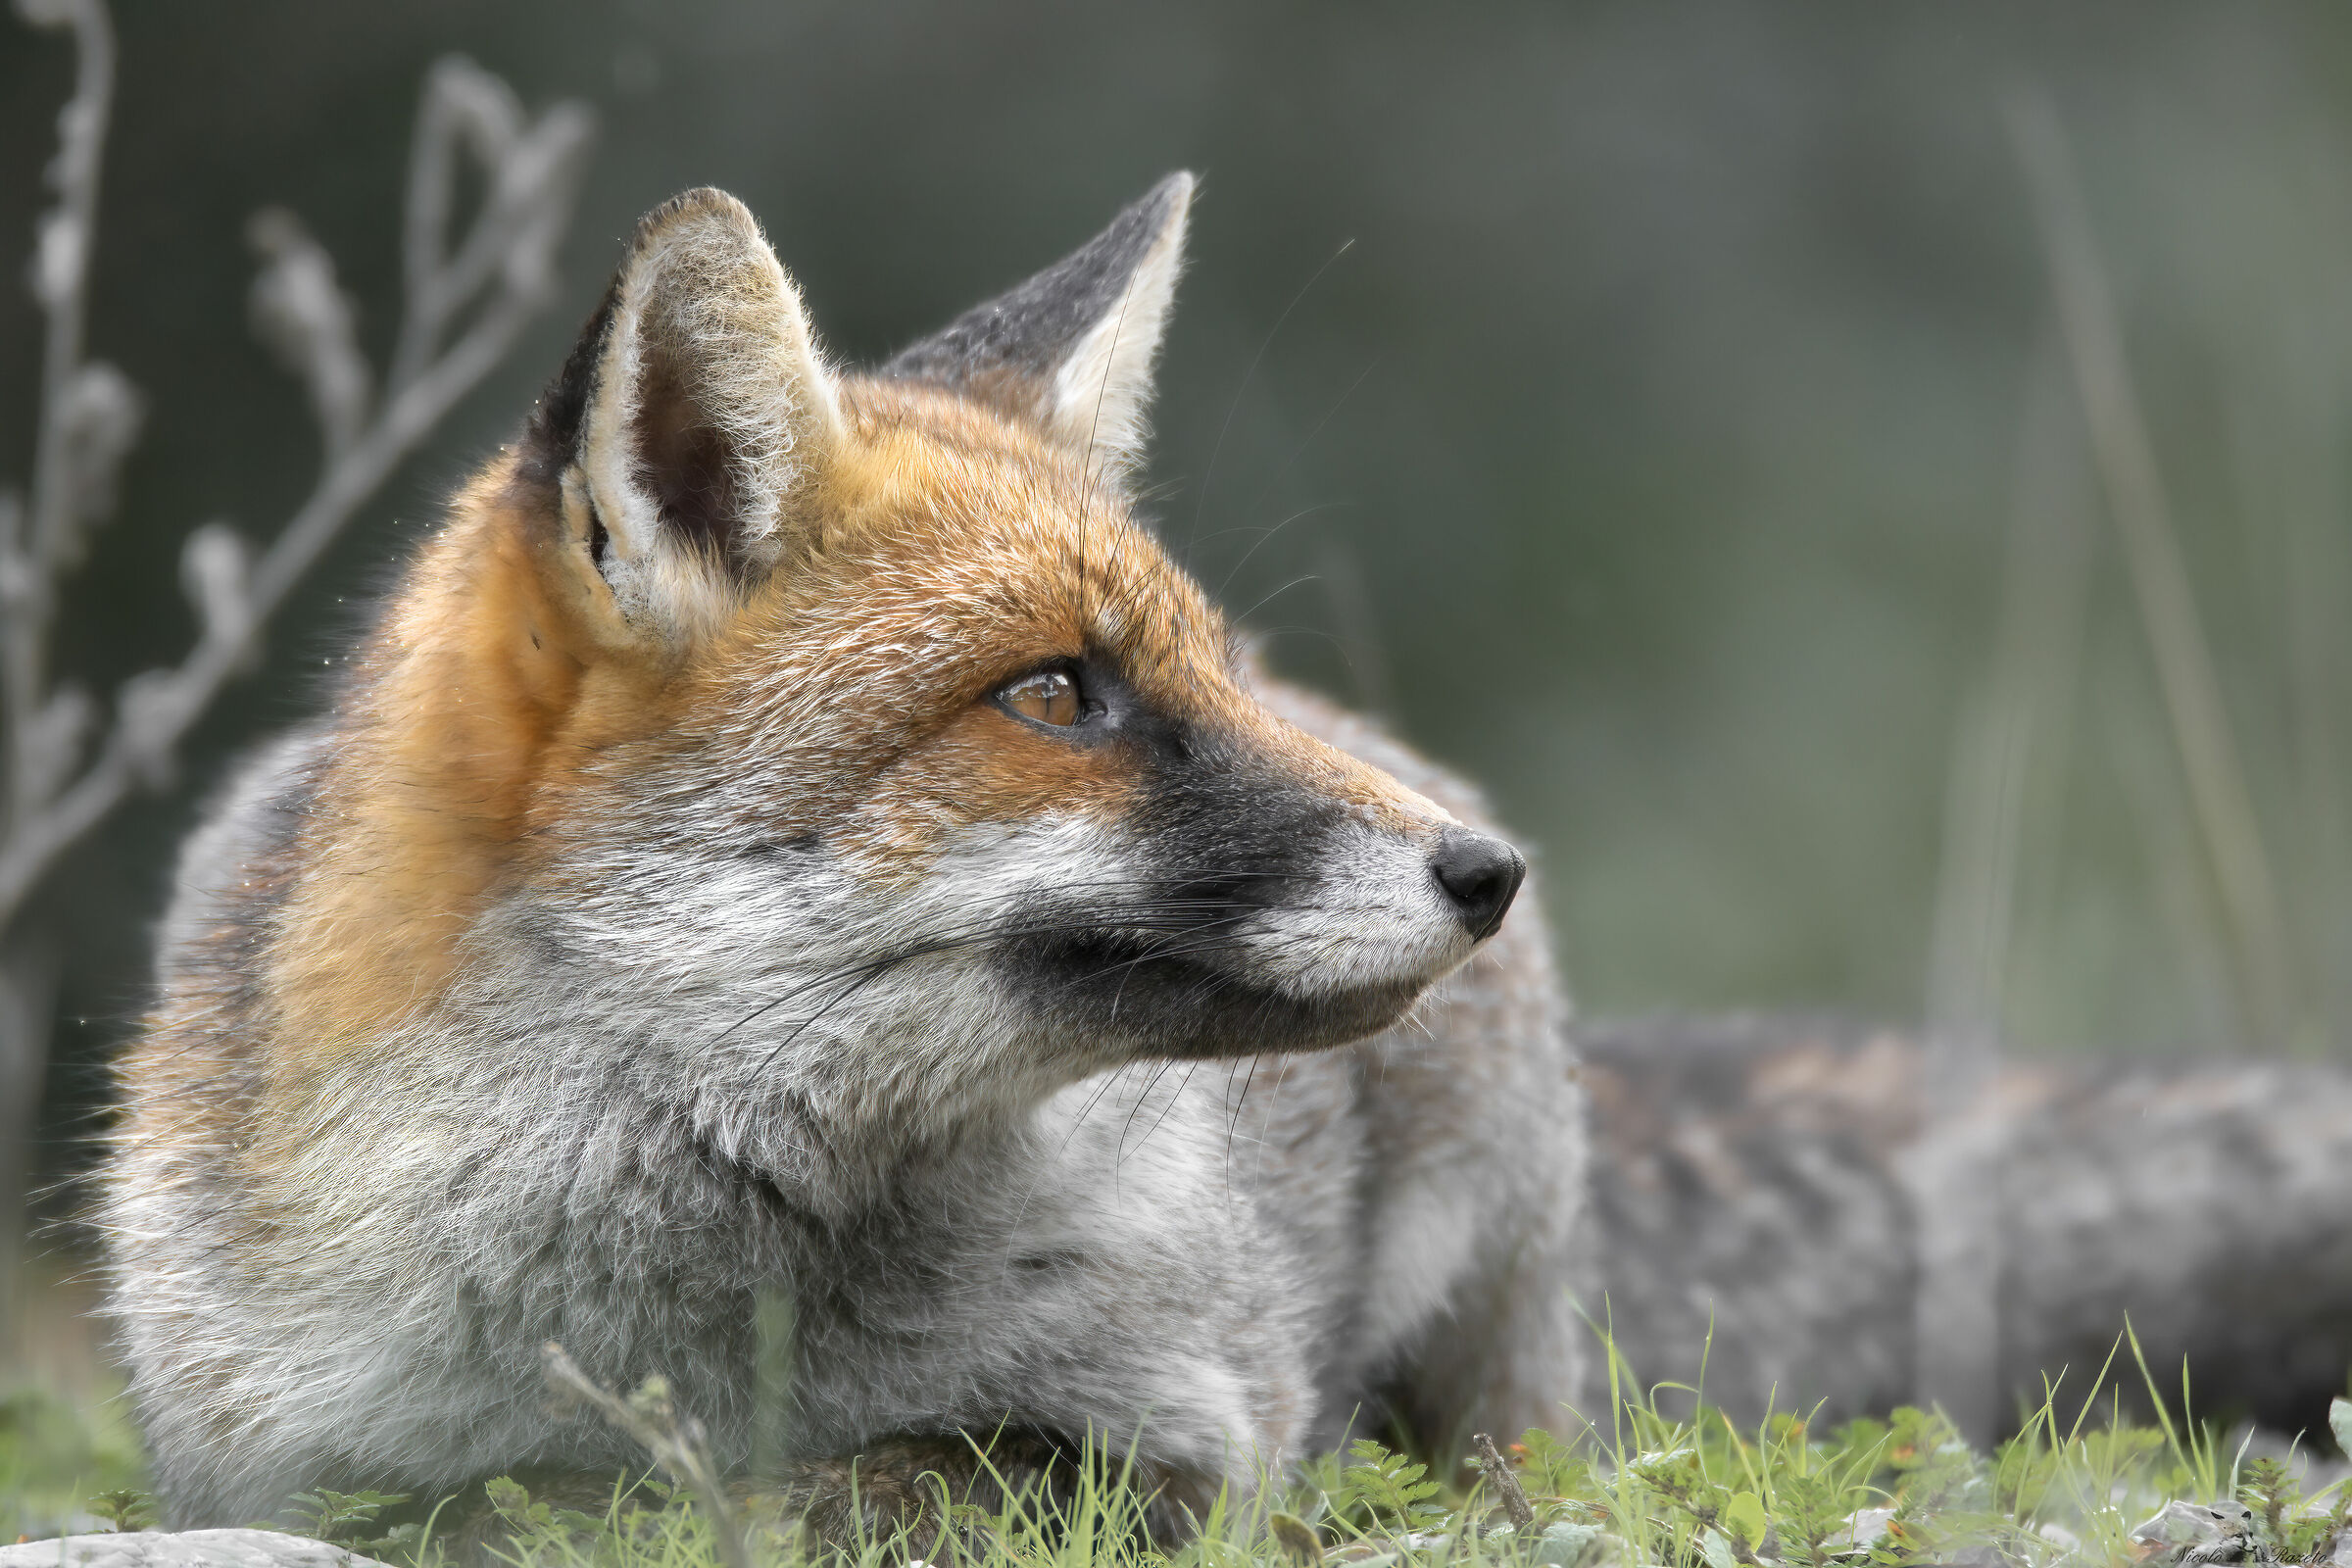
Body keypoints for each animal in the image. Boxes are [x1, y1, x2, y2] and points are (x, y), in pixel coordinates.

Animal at [99, 175, 1596, 1539]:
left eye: (1225, 679)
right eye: (1054, 693)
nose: (1490, 870)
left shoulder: (1194, 1428)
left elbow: (878, 1485)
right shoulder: (275, 1463)